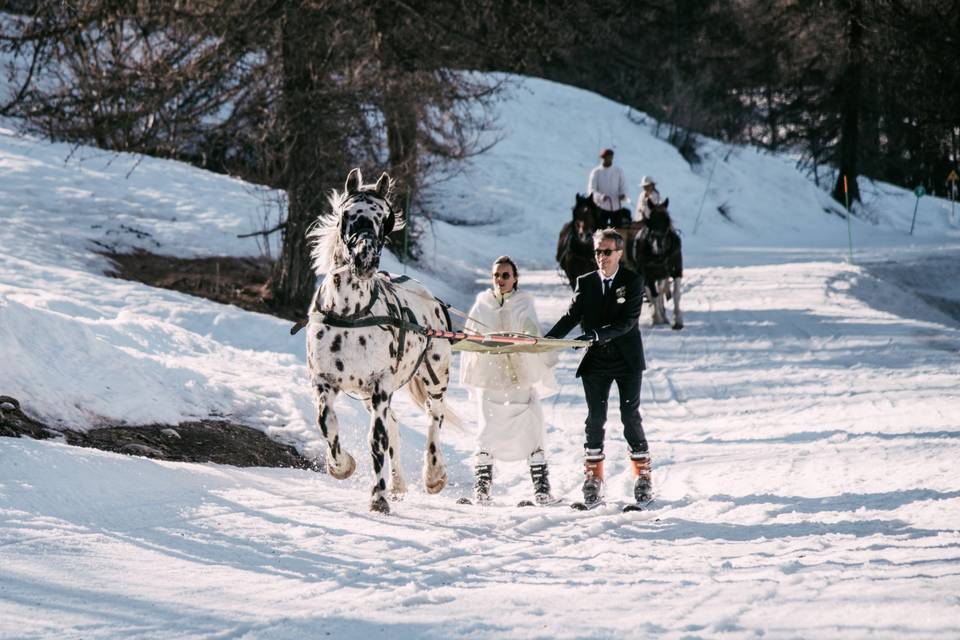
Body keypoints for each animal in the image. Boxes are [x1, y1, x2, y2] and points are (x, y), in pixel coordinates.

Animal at [304, 168, 462, 512]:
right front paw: (342, 466)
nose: (365, 259)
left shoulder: (379, 386)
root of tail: (429, 295)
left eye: (384, 218)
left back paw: (433, 475)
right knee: (396, 427)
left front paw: (378, 498)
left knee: (434, 420)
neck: (350, 313)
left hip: (434, 377)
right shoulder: (324, 382)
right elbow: (327, 424)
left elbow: (376, 441)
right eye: (345, 214)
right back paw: (399, 484)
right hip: (369, 396)